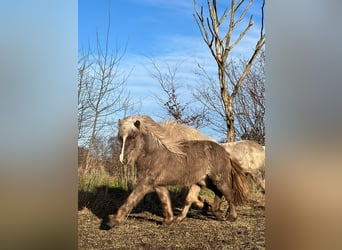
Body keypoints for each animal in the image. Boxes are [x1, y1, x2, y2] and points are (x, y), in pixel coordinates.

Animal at [107, 115, 248, 229]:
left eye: (133, 136)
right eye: (120, 138)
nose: (123, 160)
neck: (154, 154)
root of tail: (225, 151)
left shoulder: (145, 182)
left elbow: (130, 200)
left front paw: (113, 221)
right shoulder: (158, 185)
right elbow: (165, 201)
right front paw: (169, 220)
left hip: (219, 179)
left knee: (229, 194)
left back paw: (231, 217)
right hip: (205, 181)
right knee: (218, 193)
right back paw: (213, 211)